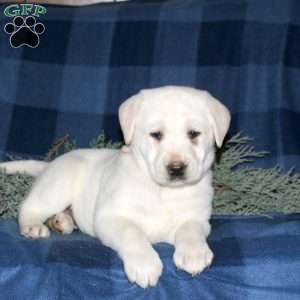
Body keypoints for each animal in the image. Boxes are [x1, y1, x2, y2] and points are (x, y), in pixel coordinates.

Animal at [0, 85, 232, 288]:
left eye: (194, 134)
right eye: (156, 135)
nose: (176, 168)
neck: (163, 191)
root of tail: (50, 164)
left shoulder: (198, 219)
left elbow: (190, 230)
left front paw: (194, 254)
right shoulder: (110, 217)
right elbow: (132, 232)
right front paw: (145, 264)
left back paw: (62, 221)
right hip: (58, 185)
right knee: (30, 206)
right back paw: (34, 226)